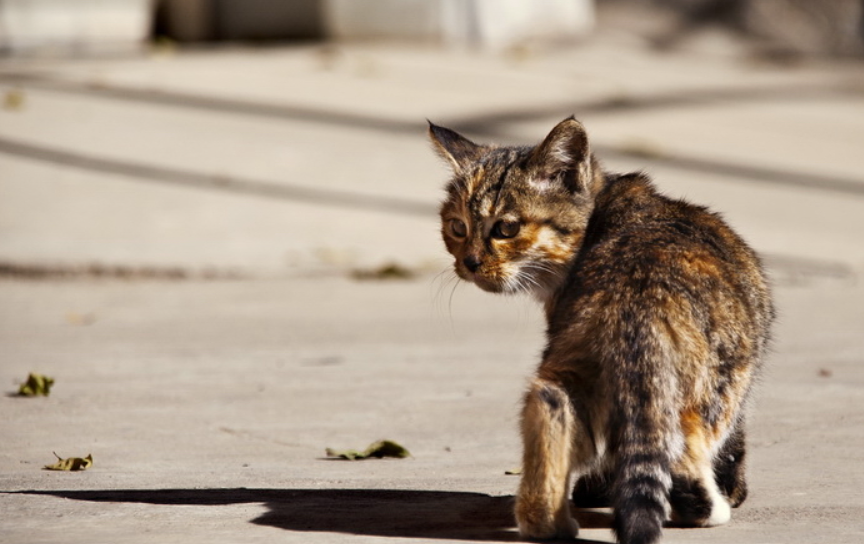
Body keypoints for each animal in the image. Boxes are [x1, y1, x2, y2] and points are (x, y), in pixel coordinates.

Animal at [428, 118, 772, 544]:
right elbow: (734, 441)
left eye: (506, 228)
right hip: (717, 382)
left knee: (550, 405)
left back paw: (547, 524)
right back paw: (707, 508)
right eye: (458, 227)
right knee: (684, 452)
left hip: (577, 368)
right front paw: (734, 488)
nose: (470, 262)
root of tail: (637, 295)